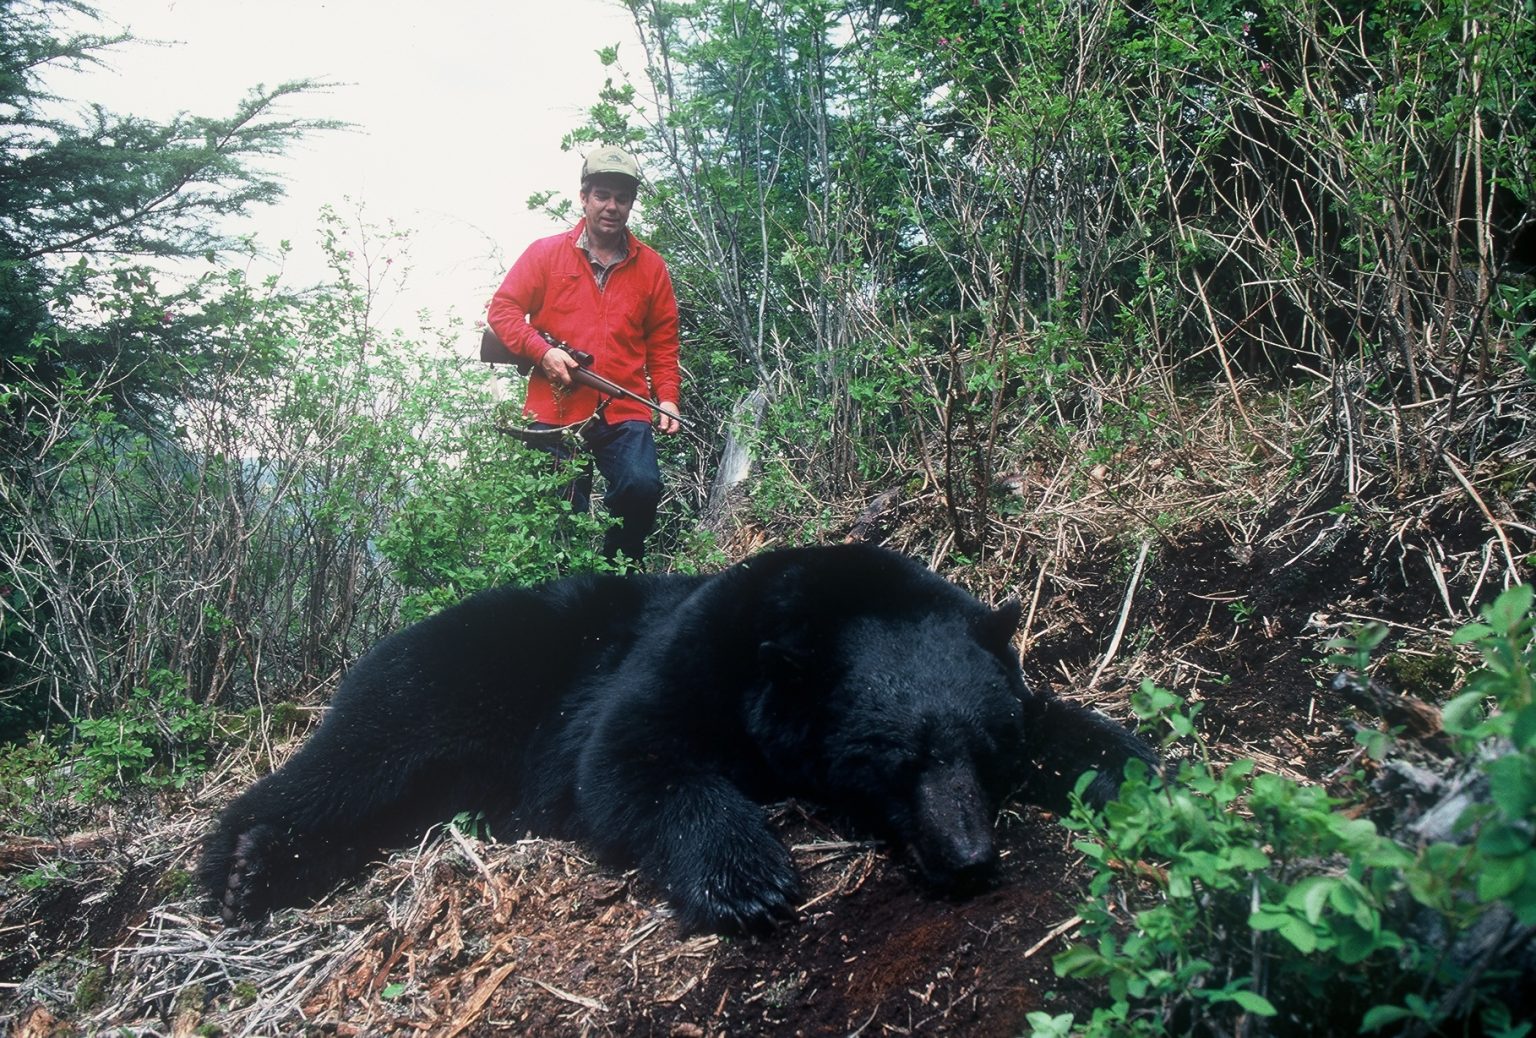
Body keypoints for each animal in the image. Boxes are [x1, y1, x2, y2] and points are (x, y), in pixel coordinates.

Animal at [207, 543, 1161, 933]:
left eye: (983, 753)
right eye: (901, 761)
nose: (968, 855)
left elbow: (1060, 722)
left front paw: (1139, 766)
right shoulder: (686, 653)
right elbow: (627, 760)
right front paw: (748, 879)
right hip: (457, 673)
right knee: (357, 756)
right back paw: (244, 865)